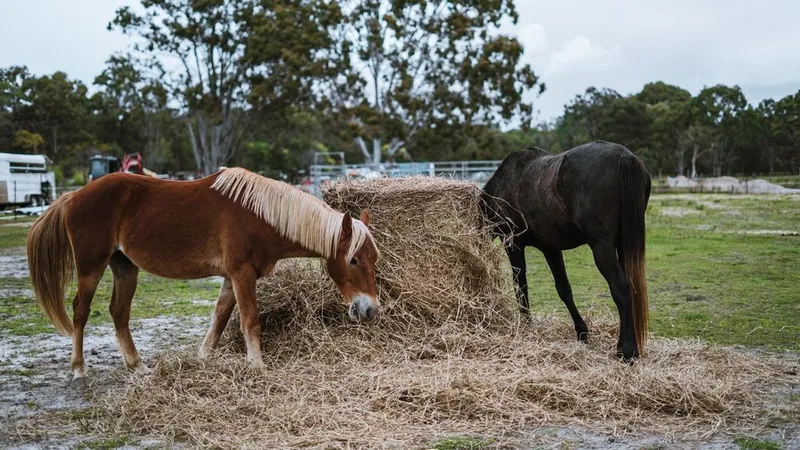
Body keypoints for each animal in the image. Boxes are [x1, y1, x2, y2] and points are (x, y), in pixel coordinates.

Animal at [26, 167, 381, 385]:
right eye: (353, 260)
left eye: (374, 259)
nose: (370, 310)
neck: (260, 215)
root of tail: (72, 197)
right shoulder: (241, 273)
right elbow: (249, 320)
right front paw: (257, 366)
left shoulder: (230, 278)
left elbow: (219, 320)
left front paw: (202, 360)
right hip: (91, 267)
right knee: (81, 312)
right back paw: (78, 370)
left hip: (125, 267)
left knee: (119, 313)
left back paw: (138, 366)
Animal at [480, 140, 651, 361]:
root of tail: (624, 157)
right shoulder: (551, 249)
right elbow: (564, 289)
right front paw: (582, 332)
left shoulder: (513, 244)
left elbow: (520, 287)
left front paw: (525, 327)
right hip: (623, 244)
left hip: (602, 248)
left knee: (620, 287)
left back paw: (628, 351)